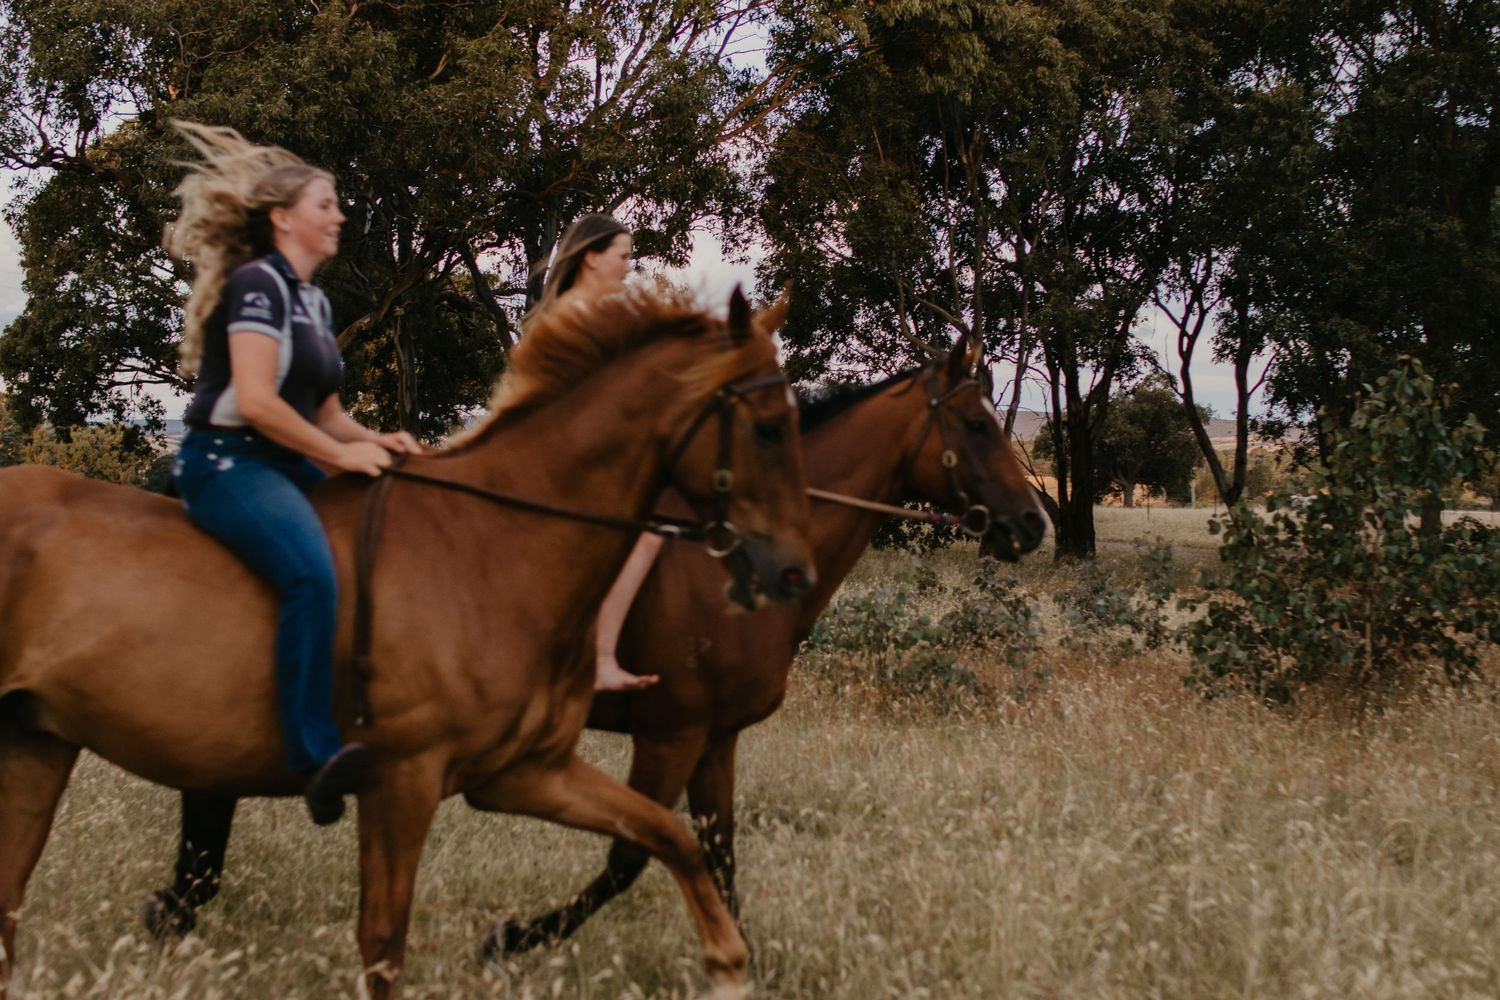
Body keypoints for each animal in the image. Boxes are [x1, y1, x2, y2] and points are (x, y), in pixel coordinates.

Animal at [0, 287, 813, 998]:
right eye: (770, 426)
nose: (793, 572)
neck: (490, 546)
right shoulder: (403, 781)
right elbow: (383, 943)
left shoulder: (524, 773)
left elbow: (667, 835)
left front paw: (729, 964)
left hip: (37, 745)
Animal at [148, 336, 1047, 958]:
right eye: (976, 424)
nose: (1032, 524)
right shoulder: (670, 734)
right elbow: (627, 858)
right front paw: (513, 939)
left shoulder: (716, 740)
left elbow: (718, 850)